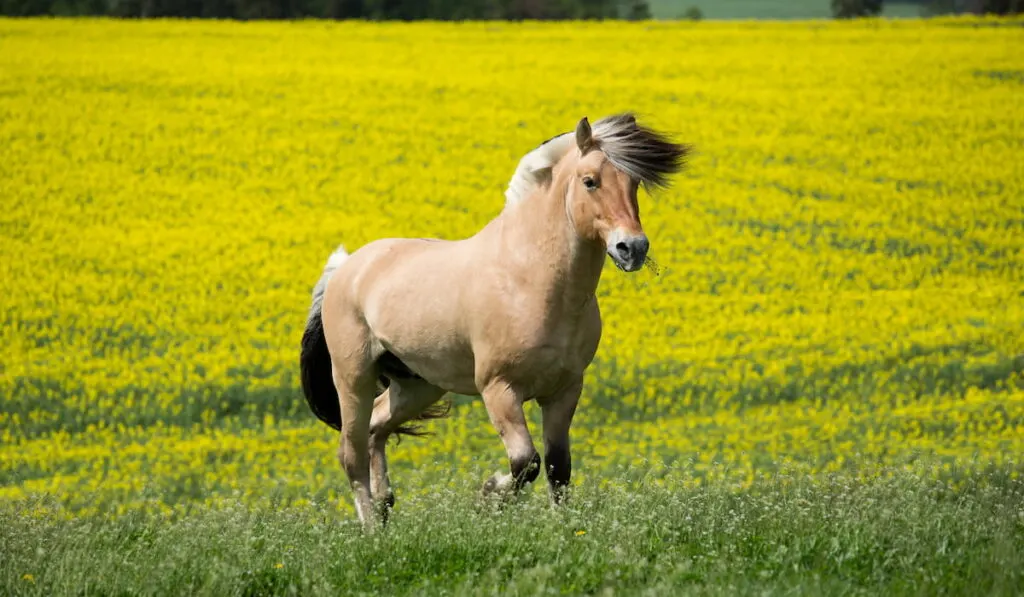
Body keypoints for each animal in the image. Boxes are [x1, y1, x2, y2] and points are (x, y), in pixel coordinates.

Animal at [299, 114, 692, 528]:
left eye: (634, 184)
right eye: (590, 181)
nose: (632, 248)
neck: (529, 279)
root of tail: (346, 268)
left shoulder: (564, 389)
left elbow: (558, 466)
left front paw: (563, 529)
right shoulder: (499, 389)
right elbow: (526, 462)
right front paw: (489, 495)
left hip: (419, 384)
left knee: (377, 427)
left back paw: (385, 506)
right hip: (353, 377)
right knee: (351, 451)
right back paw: (372, 526)